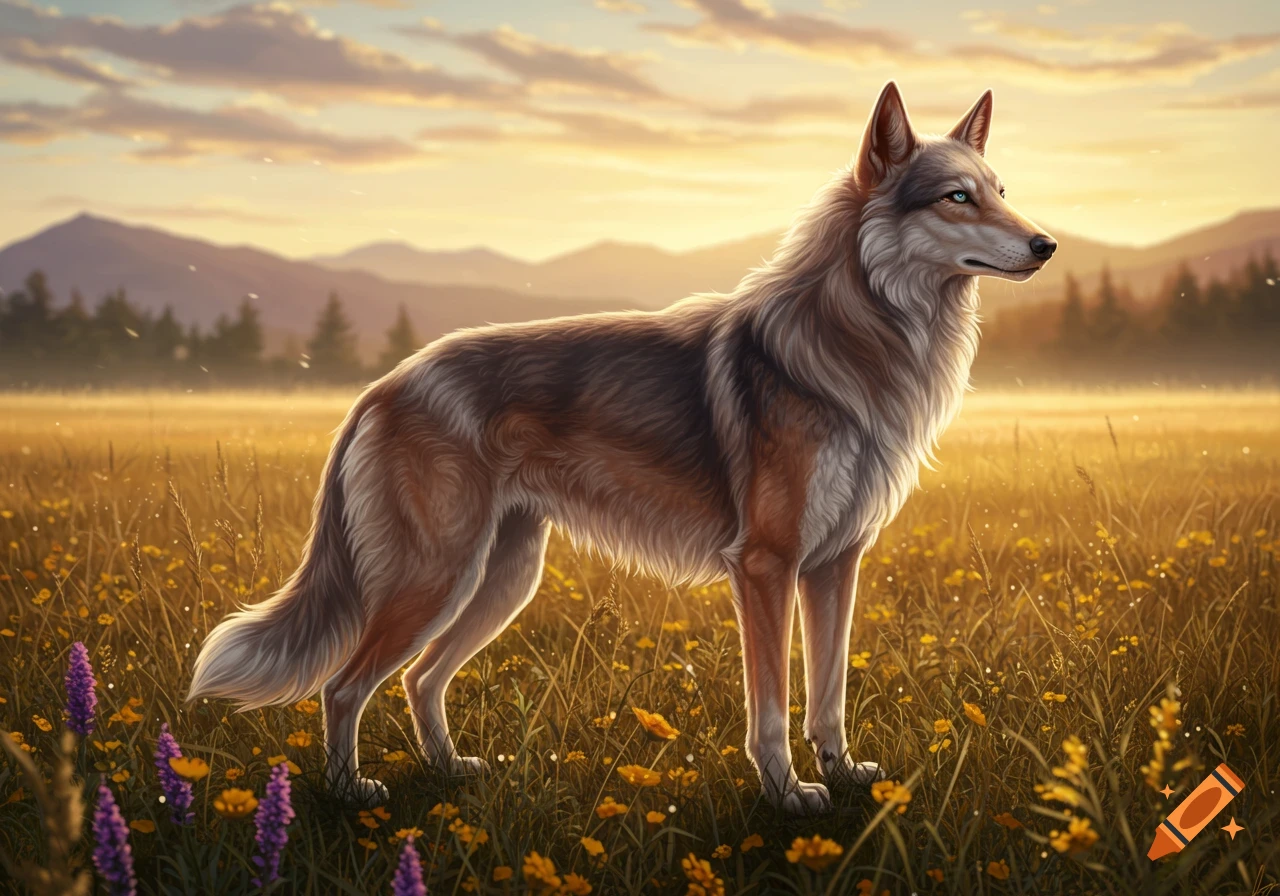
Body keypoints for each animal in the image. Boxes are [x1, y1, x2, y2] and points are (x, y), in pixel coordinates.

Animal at [188, 82, 1055, 814]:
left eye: (1001, 193)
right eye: (958, 197)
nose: (1047, 244)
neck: (857, 341)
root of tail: (382, 386)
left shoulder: (837, 566)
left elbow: (829, 695)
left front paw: (840, 776)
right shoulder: (766, 567)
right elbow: (774, 708)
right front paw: (786, 795)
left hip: (498, 581)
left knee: (420, 681)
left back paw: (448, 769)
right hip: (437, 579)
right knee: (345, 686)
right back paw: (349, 793)